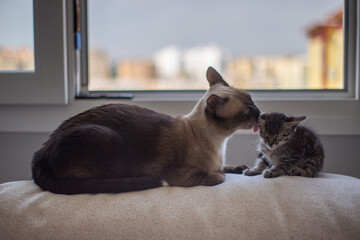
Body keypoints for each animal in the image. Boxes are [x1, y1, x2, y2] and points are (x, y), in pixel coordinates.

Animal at [33, 66, 258, 194]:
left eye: (252, 100)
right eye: (248, 110)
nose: (260, 112)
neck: (220, 143)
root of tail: (41, 150)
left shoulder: (219, 163)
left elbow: (227, 168)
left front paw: (241, 168)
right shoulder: (183, 175)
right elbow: (218, 177)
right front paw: (223, 174)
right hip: (106, 140)